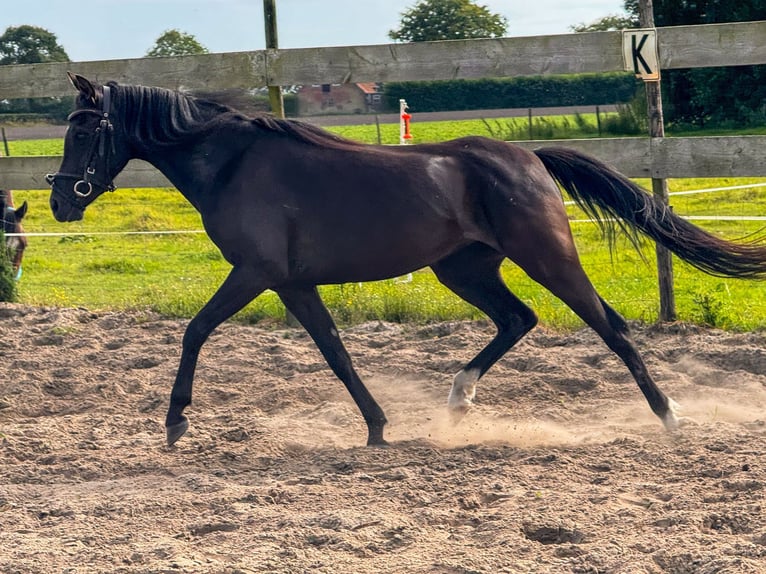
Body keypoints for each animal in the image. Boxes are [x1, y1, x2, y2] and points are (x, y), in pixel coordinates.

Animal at [48, 73, 766, 450]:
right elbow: (335, 352)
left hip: (546, 256)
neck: (230, 163)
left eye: (85, 128)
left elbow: (196, 330)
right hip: (465, 268)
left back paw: (669, 416)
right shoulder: (292, 284)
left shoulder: (255, 274)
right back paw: (457, 400)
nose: (59, 200)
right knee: (518, 320)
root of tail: (528, 157)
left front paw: (175, 423)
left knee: (609, 325)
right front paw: (377, 428)